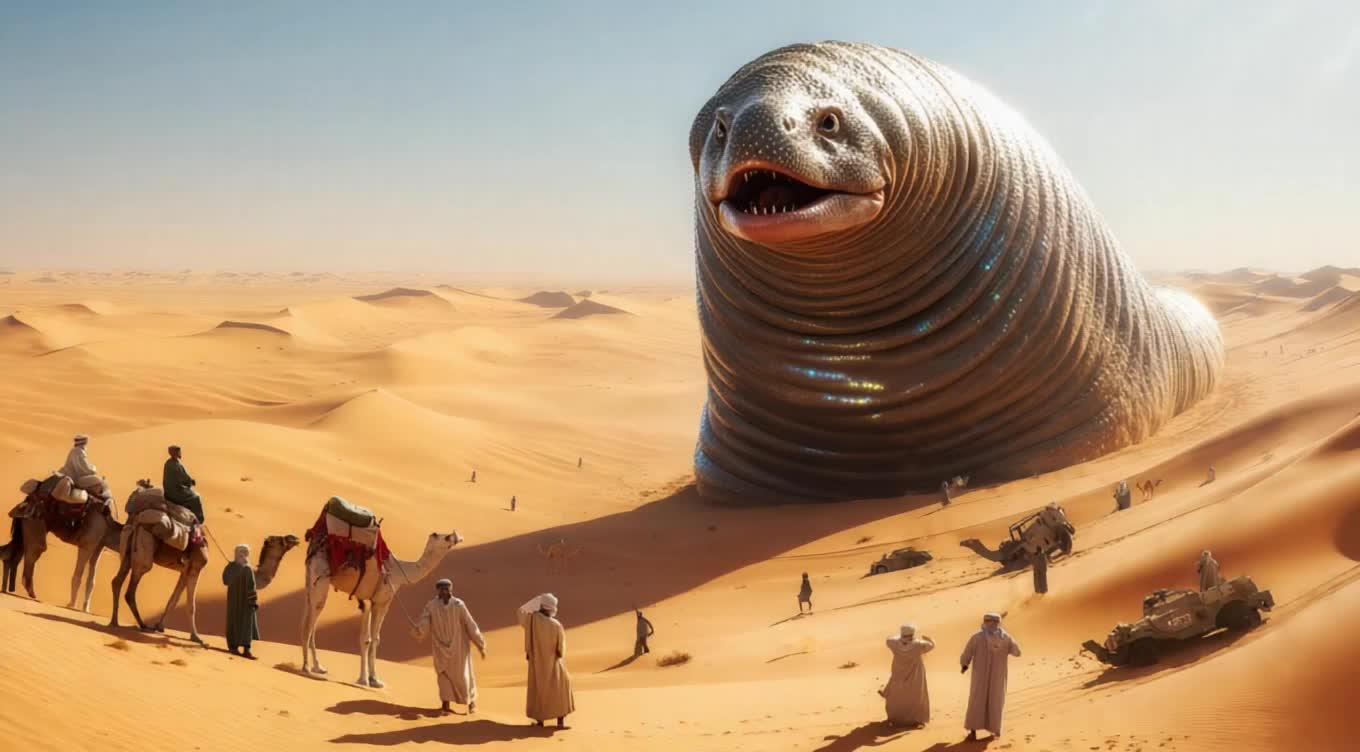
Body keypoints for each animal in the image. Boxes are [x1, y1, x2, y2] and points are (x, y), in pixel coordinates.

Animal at [109, 518, 299, 643]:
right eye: (281, 540)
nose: (295, 538)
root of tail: (136, 525)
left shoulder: (184, 571)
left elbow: (173, 600)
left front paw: (159, 626)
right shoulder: (195, 569)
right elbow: (191, 605)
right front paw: (196, 637)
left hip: (127, 553)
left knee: (116, 581)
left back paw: (115, 622)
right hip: (143, 556)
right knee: (130, 591)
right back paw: (141, 624)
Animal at [301, 530, 463, 687]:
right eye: (446, 537)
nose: (457, 536)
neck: (400, 571)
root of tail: (316, 545)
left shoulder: (380, 602)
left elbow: (376, 639)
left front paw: (375, 680)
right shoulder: (372, 601)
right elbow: (366, 639)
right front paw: (363, 680)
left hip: (310, 582)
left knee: (310, 619)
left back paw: (318, 667)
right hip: (319, 577)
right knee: (310, 621)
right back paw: (306, 668)